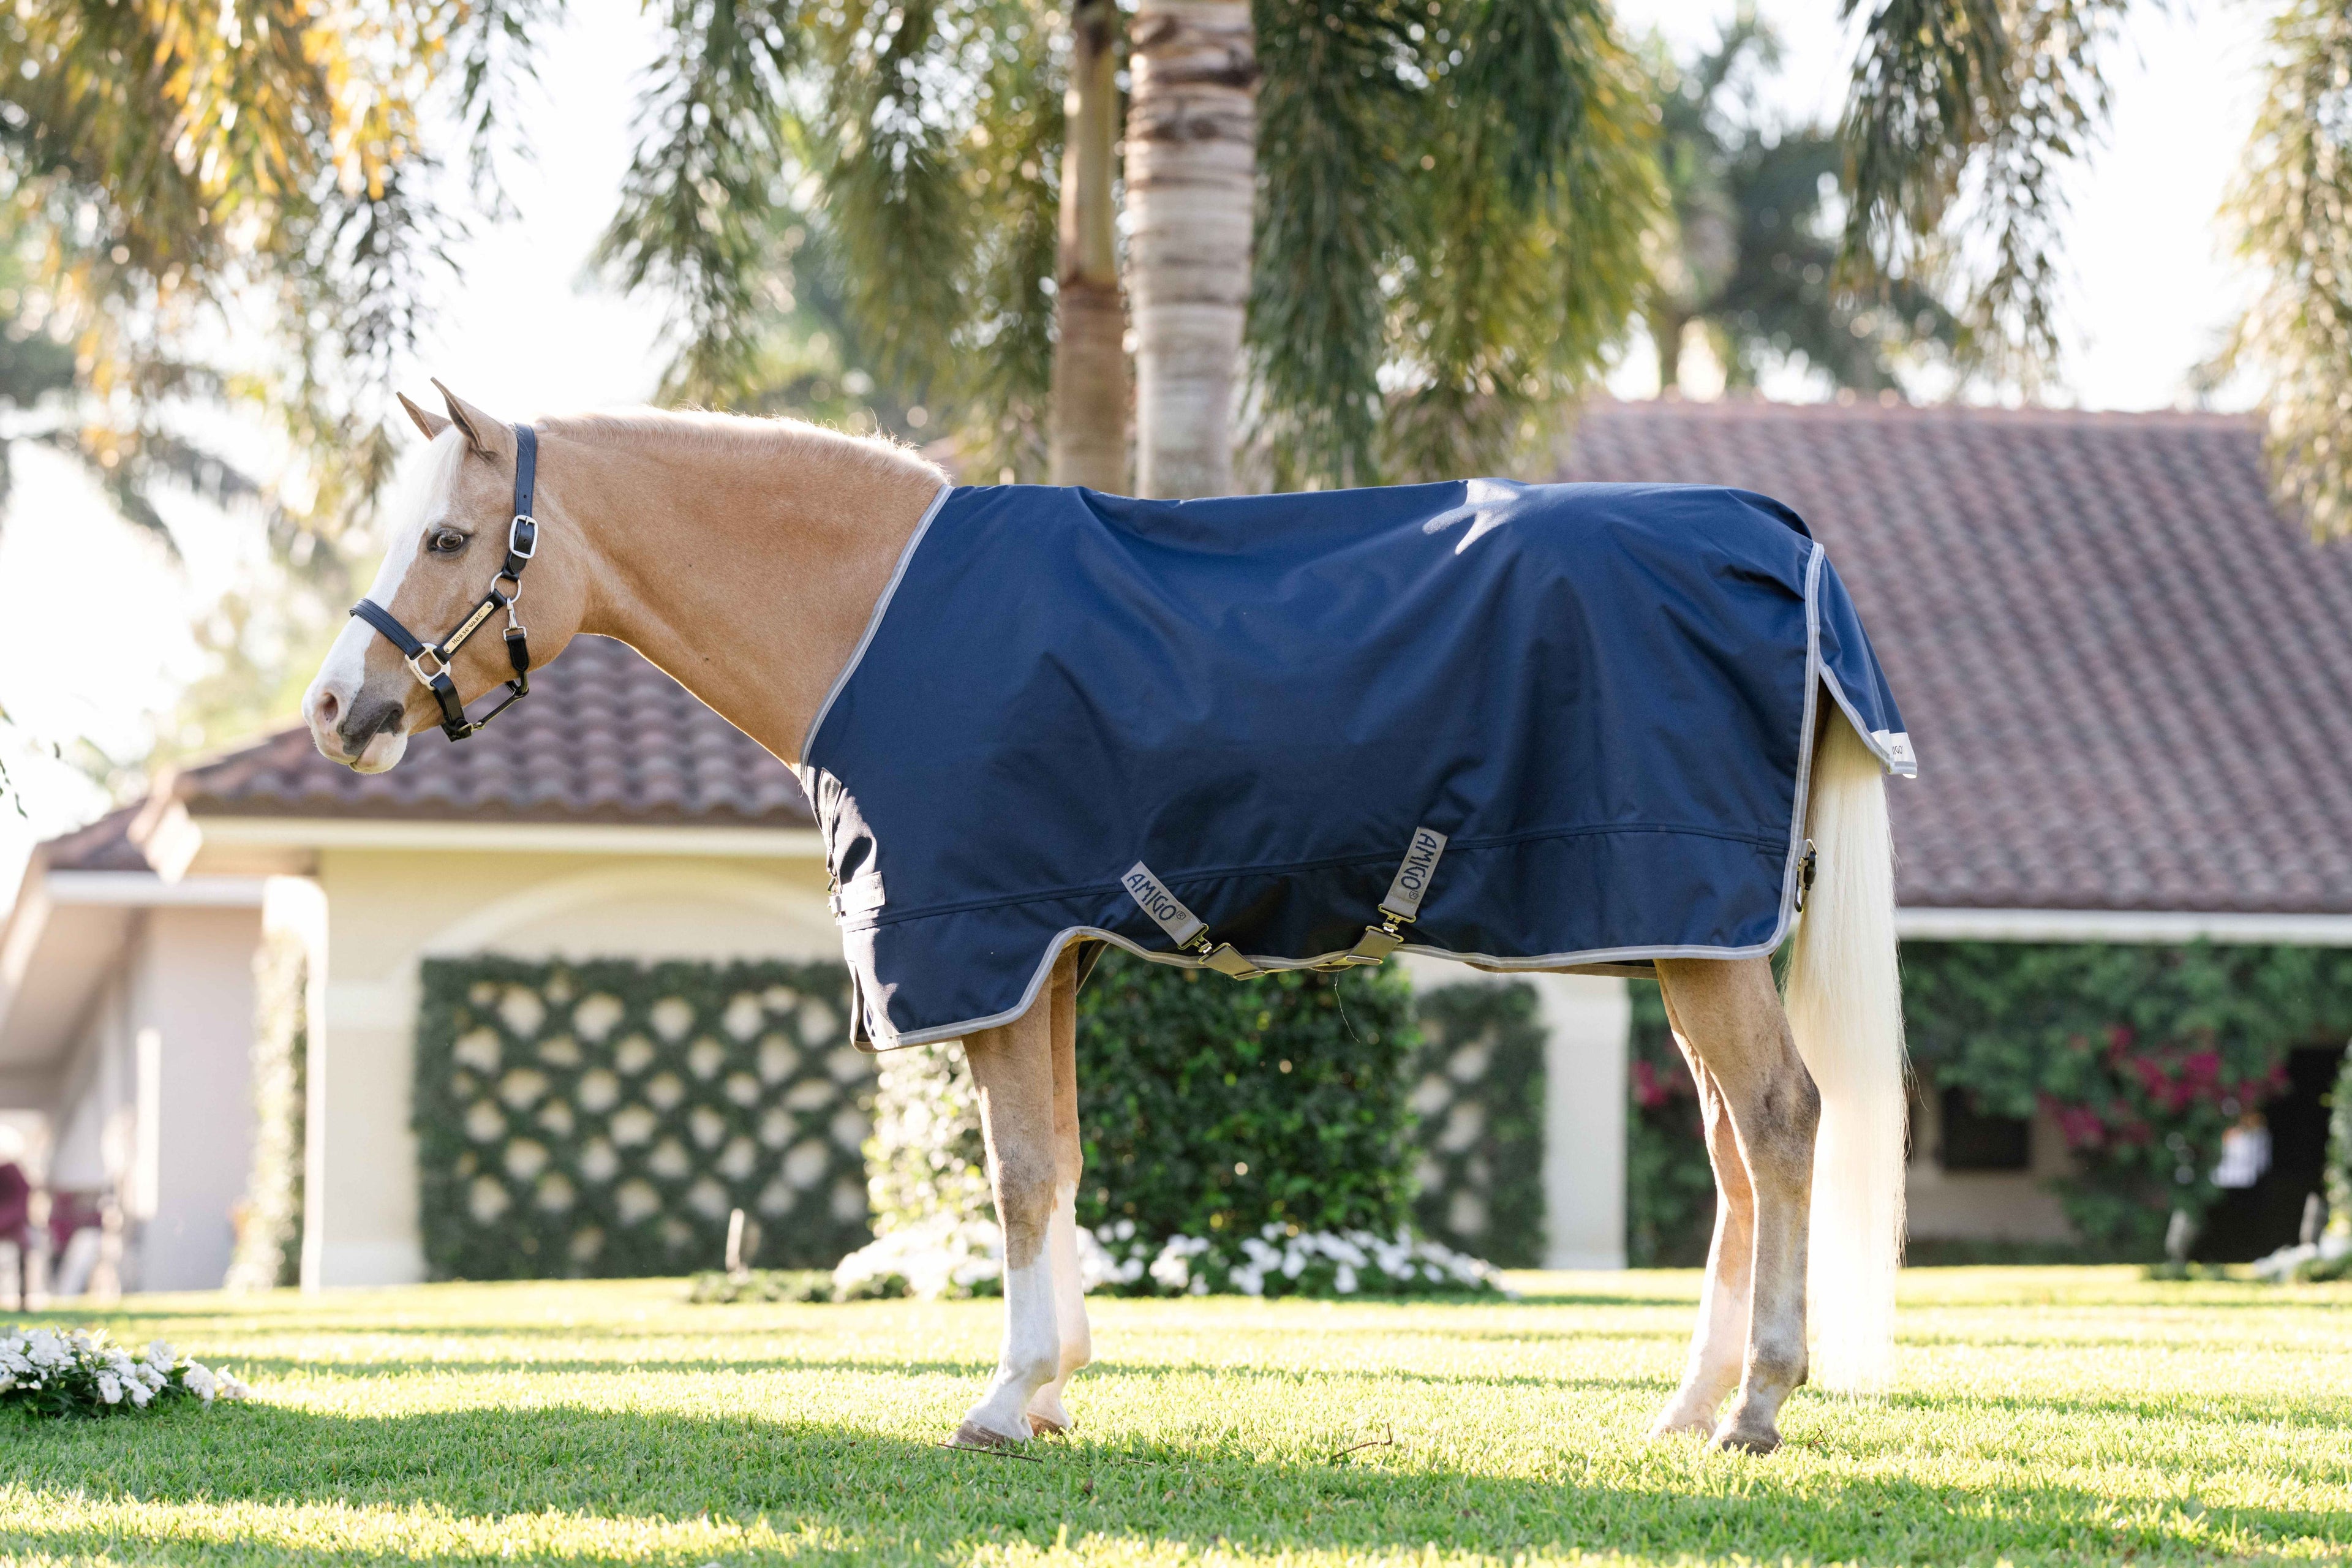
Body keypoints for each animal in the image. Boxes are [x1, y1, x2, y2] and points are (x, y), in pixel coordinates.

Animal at [302, 385, 1908, 1455]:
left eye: (446, 536)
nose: (334, 709)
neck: (873, 610)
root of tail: (1784, 546)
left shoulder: (986, 947)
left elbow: (1016, 1176)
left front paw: (1006, 1396)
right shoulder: (1050, 956)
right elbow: (1061, 1161)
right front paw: (1058, 1379)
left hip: (1692, 934)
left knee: (1778, 1119)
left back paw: (1759, 1402)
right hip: (1684, 935)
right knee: (1732, 1150)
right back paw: (1690, 1402)